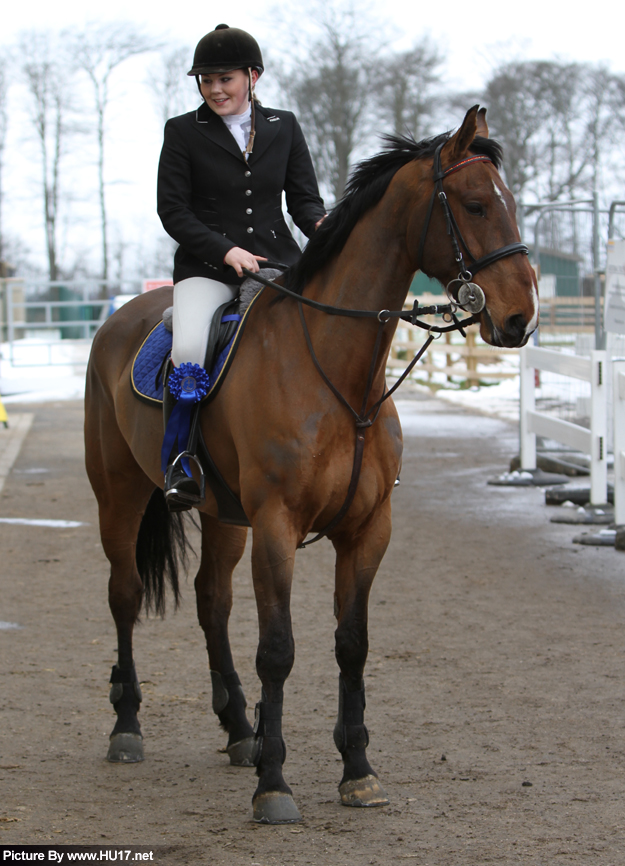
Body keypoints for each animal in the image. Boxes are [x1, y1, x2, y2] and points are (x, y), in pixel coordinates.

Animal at [84, 108, 536, 824]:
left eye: (511, 202)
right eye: (474, 205)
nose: (521, 316)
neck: (340, 374)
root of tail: (118, 319)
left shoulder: (367, 529)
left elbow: (352, 644)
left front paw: (358, 772)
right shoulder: (277, 525)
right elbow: (278, 650)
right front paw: (274, 785)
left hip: (222, 515)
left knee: (212, 602)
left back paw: (239, 730)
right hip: (120, 496)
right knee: (124, 595)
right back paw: (128, 727)